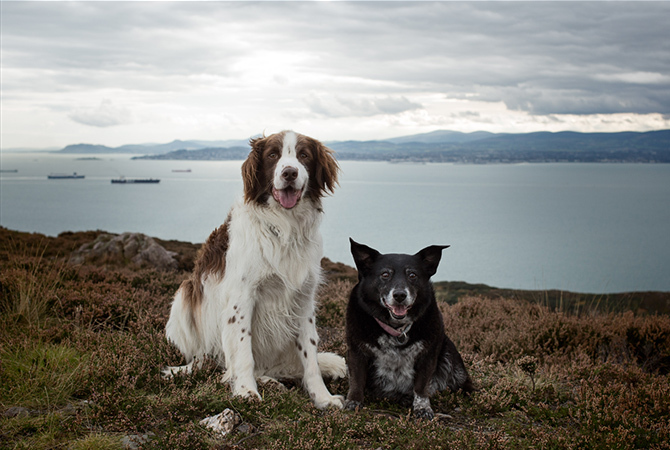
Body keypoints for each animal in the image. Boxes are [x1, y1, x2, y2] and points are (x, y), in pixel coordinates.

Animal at [165, 129, 346, 408]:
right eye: (272, 155)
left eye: (304, 155)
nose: (289, 173)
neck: (285, 228)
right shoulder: (241, 299)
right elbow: (243, 353)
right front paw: (245, 391)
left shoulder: (304, 300)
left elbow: (310, 357)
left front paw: (322, 397)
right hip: (183, 297)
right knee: (211, 361)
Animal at [344, 239, 476, 418]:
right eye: (385, 274)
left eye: (412, 275)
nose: (400, 295)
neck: (396, 329)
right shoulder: (357, 352)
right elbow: (357, 380)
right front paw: (354, 402)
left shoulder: (427, 356)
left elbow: (421, 387)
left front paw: (423, 408)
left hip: (449, 352)